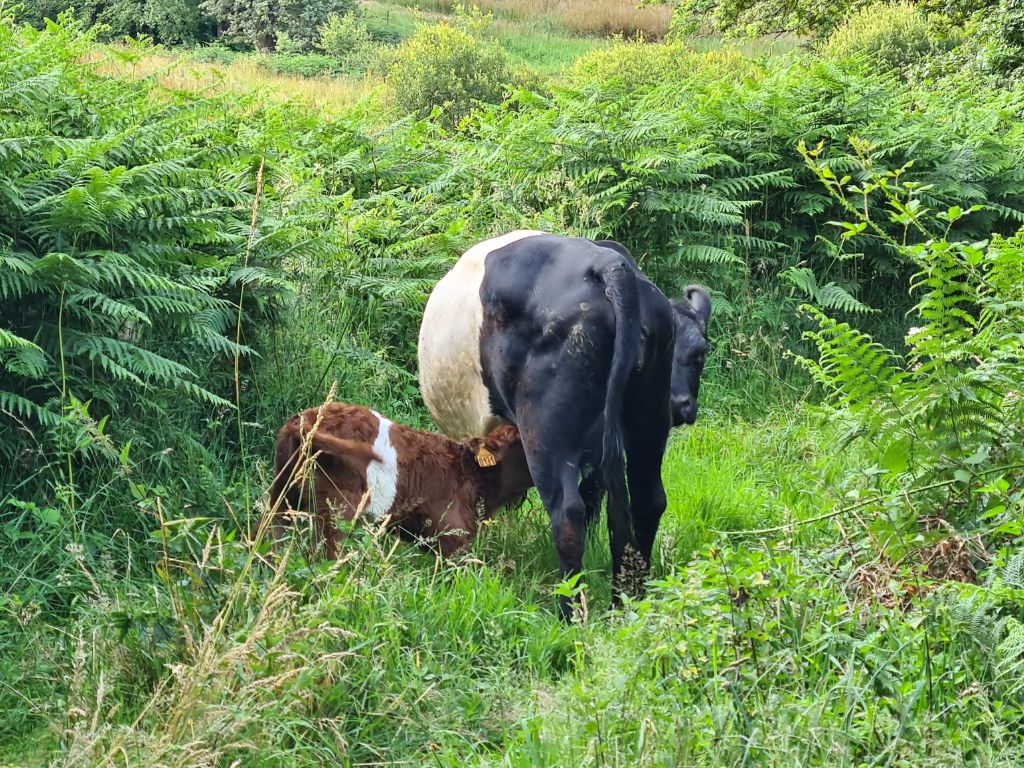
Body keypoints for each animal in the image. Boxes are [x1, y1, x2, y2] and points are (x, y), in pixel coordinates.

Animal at [266, 403, 536, 561]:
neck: (473, 475)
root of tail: (305, 420)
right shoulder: (451, 537)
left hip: (283, 491)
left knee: (270, 534)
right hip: (338, 509)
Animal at [415, 230, 712, 618]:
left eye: (699, 355)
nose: (680, 405)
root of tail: (606, 262)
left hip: (545, 434)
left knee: (566, 510)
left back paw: (568, 611)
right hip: (646, 421)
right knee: (648, 499)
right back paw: (631, 601)